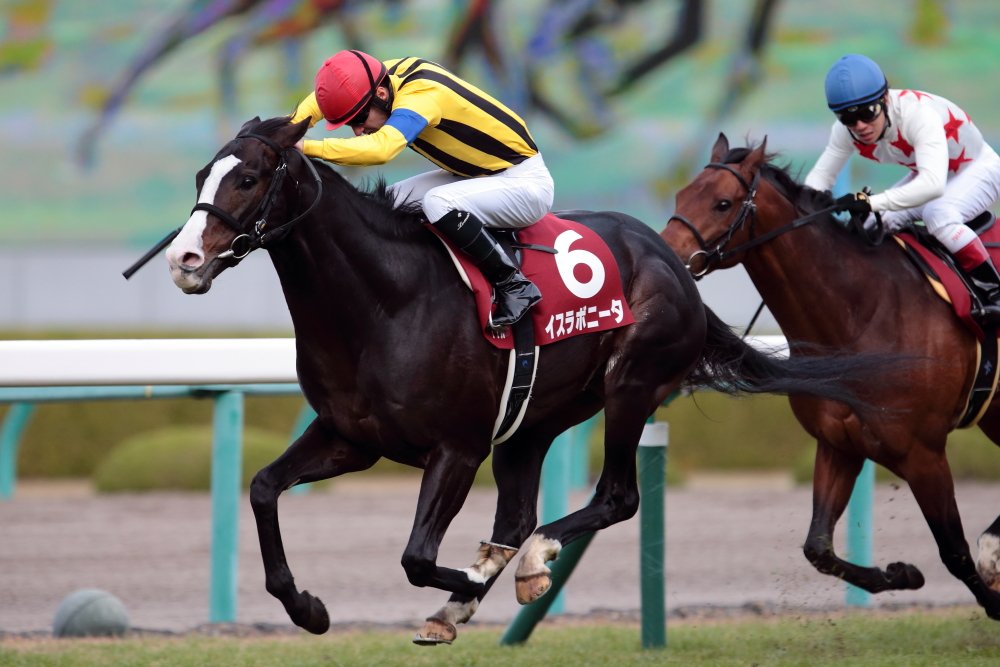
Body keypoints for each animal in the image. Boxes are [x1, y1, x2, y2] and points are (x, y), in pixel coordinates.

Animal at [159, 117, 880, 643]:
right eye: (199, 175)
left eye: (248, 177)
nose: (184, 258)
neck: (384, 300)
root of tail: (673, 262)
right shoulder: (350, 437)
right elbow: (262, 488)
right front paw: (307, 606)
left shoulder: (455, 447)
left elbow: (417, 557)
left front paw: (472, 585)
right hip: (534, 420)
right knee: (519, 512)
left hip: (630, 386)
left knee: (615, 497)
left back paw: (529, 563)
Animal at [662, 132, 1000, 621]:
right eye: (680, 195)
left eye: (723, 203)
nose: (664, 254)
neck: (863, 313)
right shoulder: (839, 444)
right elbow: (817, 548)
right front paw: (900, 574)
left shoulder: (924, 454)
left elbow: (954, 550)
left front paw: (992, 599)